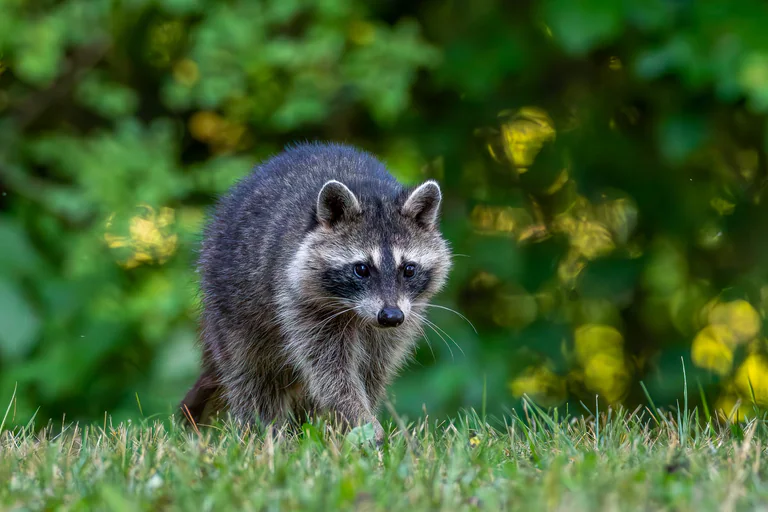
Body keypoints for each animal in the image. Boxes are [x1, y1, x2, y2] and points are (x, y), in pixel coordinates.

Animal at [180, 142, 452, 441]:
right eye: (361, 269)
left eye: (409, 269)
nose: (390, 316)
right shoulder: (300, 302)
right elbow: (331, 374)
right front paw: (363, 421)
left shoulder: (402, 316)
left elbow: (373, 369)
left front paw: (357, 419)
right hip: (229, 300)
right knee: (250, 373)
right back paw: (263, 434)